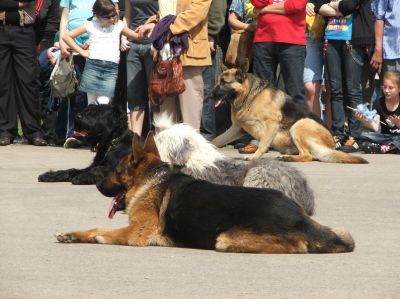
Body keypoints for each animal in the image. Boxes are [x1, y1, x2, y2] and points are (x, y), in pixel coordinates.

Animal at [211, 63, 368, 164]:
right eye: (217, 81)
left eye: (224, 82)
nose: (211, 95)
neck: (250, 96)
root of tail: (331, 145)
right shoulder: (237, 129)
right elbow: (216, 140)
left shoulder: (271, 124)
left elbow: (263, 144)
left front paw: (253, 157)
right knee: (309, 155)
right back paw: (288, 155)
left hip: (299, 124)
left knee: (308, 156)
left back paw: (288, 158)